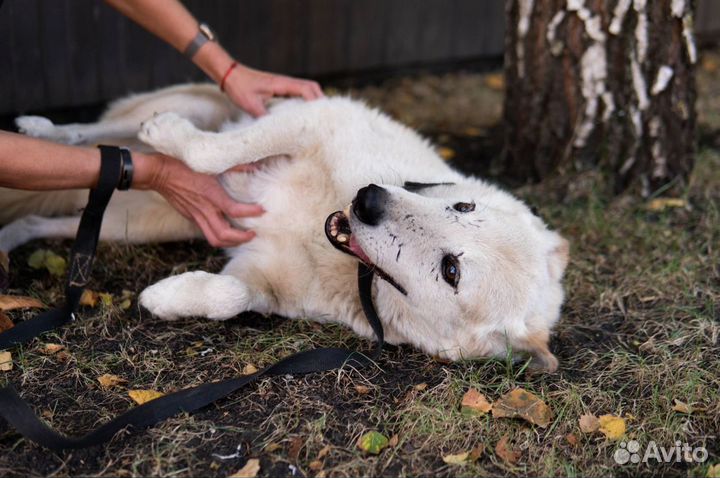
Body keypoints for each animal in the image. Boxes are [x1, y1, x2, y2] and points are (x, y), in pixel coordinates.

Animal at [4, 84, 568, 372]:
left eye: (451, 271)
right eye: (463, 205)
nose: (367, 200)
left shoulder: (260, 278)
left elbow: (228, 296)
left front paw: (162, 298)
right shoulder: (309, 119)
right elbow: (216, 153)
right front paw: (174, 138)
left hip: (137, 223)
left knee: (61, 205)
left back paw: (9, 237)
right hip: (192, 112)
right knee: (101, 132)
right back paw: (46, 127)